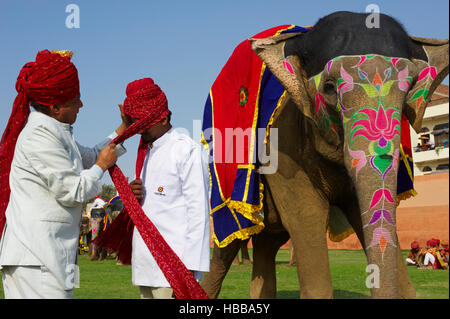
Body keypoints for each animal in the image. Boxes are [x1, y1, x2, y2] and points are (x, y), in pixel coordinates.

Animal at [201, 10, 450, 300]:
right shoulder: (283, 149)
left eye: (409, 89)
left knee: (267, 244)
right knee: (227, 246)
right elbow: (308, 217)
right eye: (329, 88)